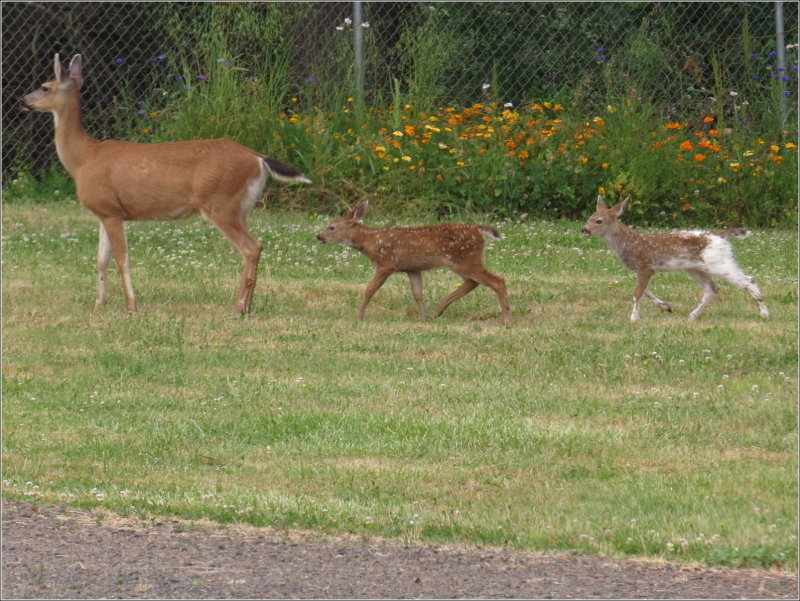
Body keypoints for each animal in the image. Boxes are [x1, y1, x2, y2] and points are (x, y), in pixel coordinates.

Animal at [21, 53, 310, 314]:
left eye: (45, 86)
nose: (23, 100)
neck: (84, 158)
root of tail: (257, 158)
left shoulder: (112, 211)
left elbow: (122, 260)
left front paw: (131, 306)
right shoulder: (105, 211)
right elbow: (101, 260)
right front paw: (99, 305)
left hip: (221, 203)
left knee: (251, 247)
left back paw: (239, 307)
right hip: (241, 207)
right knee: (254, 246)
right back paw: (247, 305)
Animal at [314, 199, 512, 324]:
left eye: (331, 227)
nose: (319, 237)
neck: (370, 241)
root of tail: (478, 230)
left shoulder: (386, 263)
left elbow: (370, 289)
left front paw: (358, 316)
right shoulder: (412, 268)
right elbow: (417, 293)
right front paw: (424, 318)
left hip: (465, 259)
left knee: (497, 280)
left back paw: (507, 320)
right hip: (463, 261)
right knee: (472, 282)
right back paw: (438, 309)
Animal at [580, 195, 768, 322]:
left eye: (598, 221)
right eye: (589, 218)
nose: (584, 230)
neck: (629, 242)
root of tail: (720, 236)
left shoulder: (646, 266)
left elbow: (638, 291)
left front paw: (634, 318)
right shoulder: (642, 270)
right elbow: (643, 289)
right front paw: (666, 306)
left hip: (718, 262)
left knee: (748, 280)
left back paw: (764, 313)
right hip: (694, 268)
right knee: (713, 288)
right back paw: (692, 316)